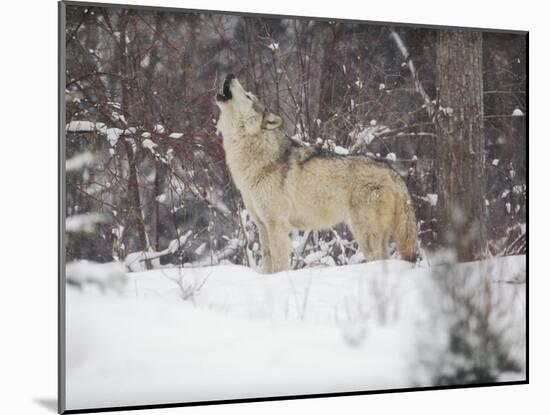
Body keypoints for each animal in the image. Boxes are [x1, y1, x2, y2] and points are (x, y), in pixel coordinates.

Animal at [216, 74, 418, 276]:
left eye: (248, 96)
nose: (230, 75)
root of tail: (392, 172)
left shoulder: (276, 225)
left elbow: (280, 266)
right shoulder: (262, 225)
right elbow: (267, 265)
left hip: (365, 235)